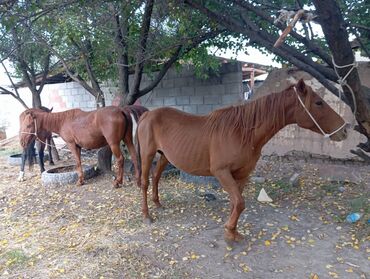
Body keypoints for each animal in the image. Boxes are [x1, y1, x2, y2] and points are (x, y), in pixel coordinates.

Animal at [19, 104, 147, 186]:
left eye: (28, 125)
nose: (22, 142)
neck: (63, 121)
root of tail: (121, 110)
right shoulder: (78, 146)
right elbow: (79, 161)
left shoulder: (72, 145)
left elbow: (77, 162)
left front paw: (80, 181)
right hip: (128, 139)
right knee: (134, 156)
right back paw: (138, 181)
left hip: (114, 144)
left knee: (120, 159)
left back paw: (118, 182)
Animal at [136, 79, 346, 243]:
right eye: (319, 103)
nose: (344, 130)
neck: (242, 132)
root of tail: (147, 114)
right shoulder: (221, 172)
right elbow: (239, 203)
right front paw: (229, 230)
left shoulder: (243, 174)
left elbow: (236, 203)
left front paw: (233, 231)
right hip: (147, 154)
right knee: (145, 182)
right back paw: (146, 215)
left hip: (164, 156)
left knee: (156, 177)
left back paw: (158, 204)